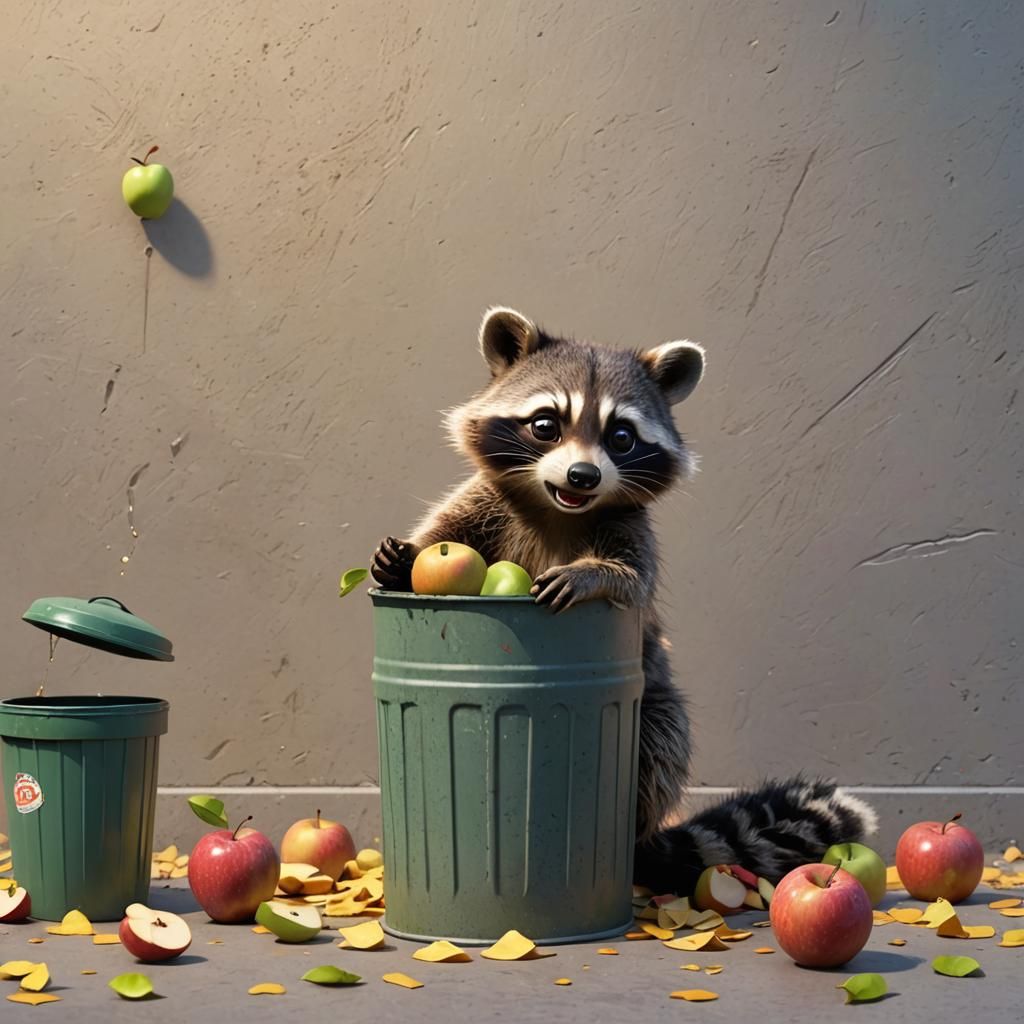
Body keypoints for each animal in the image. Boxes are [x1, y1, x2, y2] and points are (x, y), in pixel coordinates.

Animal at [371, 307, 877, 894]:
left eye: (621, 437)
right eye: (545, 424)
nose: (583, 475)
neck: (559, 507)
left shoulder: (632, 527)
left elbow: (633, 578)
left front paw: (594, 576)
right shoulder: (483, 502)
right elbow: (440, 533)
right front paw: (404, 558)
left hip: (653, 707)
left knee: (662, 739)